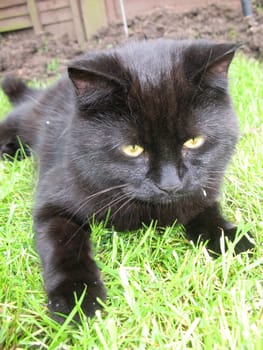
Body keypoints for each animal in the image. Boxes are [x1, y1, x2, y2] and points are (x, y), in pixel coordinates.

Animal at [0, 39, 256, 322]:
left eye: (193, 141)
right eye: (133, 149)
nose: (170, 184)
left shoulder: (202, 189)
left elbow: (205, 211)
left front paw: (232, 239)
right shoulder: (52, 200)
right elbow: (63, 246)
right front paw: (76, 298)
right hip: (29, 118)